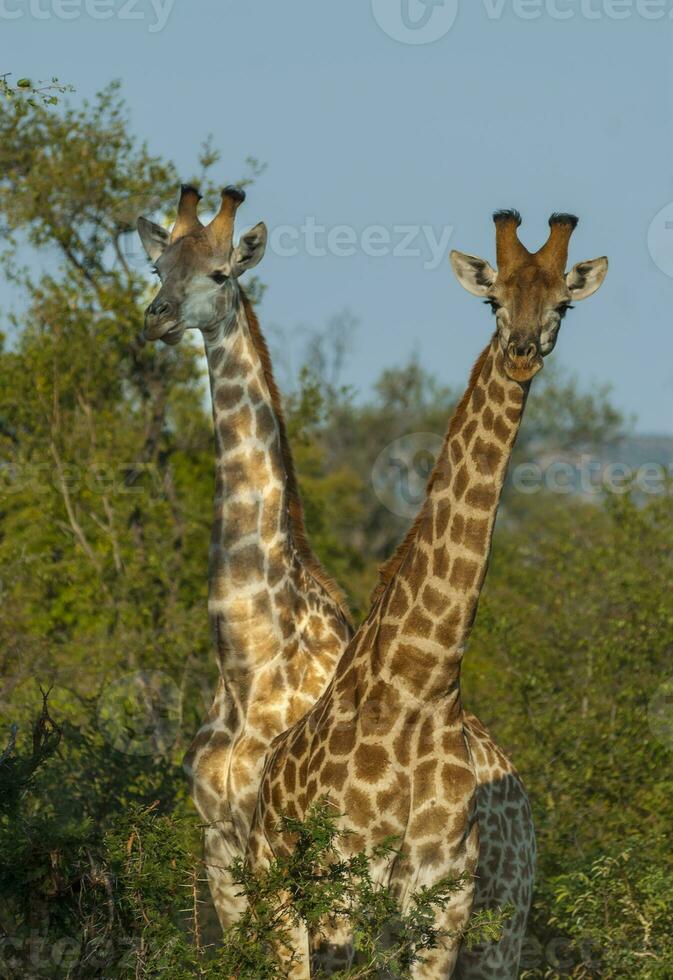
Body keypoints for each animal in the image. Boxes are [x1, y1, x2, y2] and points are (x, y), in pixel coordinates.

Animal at [135, 184, 352, 928]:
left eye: (219, 273)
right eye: (157, 269)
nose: (157, 318)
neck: (246, 663)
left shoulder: (281, 845)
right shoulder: (218, 843)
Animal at [248, 211, 608, 976]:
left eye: (561, 305)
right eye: (492, 300)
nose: (521, 353)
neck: (423, 685)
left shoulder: (443, 904)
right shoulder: (342, 888)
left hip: (499, 920)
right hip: (276, 900)